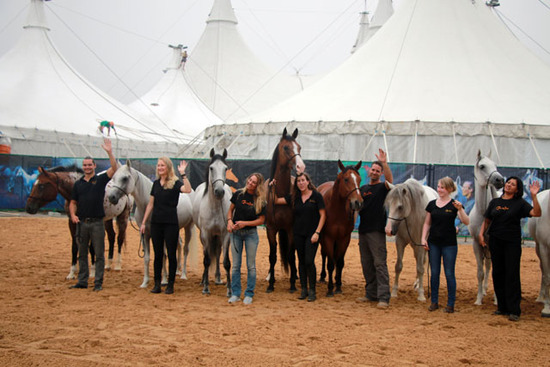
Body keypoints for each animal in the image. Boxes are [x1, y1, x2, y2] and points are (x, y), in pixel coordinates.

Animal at [192, 150, 233, 296]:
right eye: (211, 168)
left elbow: (226, 262)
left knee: (218, 252)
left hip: (218, 236)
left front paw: (229, 290)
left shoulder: (225, 234)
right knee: (209, 254)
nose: (219, 191)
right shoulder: (205, 234)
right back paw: (203, 280)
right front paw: (205, 287)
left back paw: (218, 279)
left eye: (225, 168)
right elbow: (207, 260)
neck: (214, 207)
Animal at [266, 129, 308, 294]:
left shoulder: (290, 230)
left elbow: (290, 255)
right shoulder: (271, 230)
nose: (301, 167)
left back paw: (295, 275)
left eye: (299, 147)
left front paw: (292, 284)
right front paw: (271, 284)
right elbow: (272, 256)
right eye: (285, 147)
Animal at [316, 162, 364, 300]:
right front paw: (330, 289)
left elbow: (340, 262)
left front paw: (338, 286)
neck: (336, 210)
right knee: (324, 255)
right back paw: (322, 277)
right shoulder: (328, 237)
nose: (358, 202)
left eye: (359, 179)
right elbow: (330, 264)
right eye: (346, 179)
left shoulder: (344, 238)